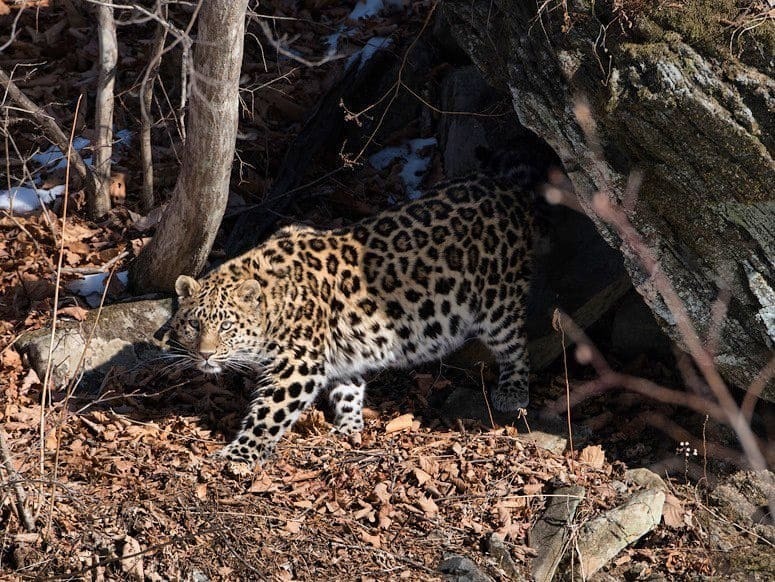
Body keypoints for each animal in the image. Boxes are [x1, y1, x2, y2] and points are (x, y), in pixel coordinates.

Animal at [167, 173, 532, 466]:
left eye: (226, 326)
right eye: (195, 325)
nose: (205, 355)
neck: (273, 303)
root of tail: (503, 186)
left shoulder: (298, 364)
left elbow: (269, 412)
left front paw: (240, 454)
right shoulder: (341, 351)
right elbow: (348, 387)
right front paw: (350, 428)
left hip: (497, 303)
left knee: (516, 345)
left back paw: (512, 391)